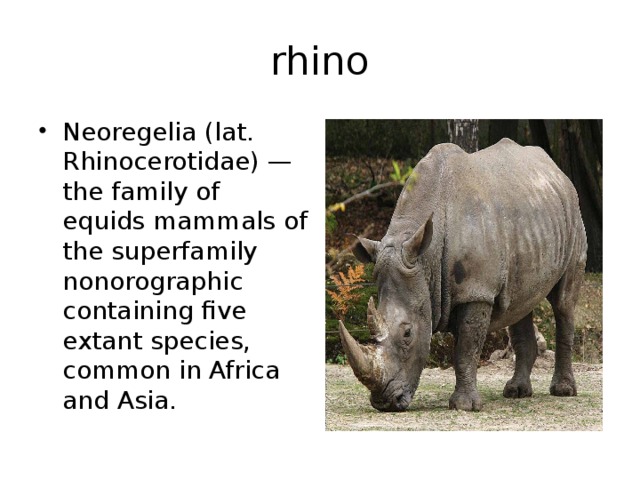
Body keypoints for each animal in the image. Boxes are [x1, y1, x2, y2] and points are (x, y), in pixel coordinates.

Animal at [339, 138, 587, 412]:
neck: (425, 261)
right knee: (519, 303)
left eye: (407, 333)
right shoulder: (452, 291)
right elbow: (464, 349)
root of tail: (556, 170)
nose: (385, 402)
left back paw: (563, 391)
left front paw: (464, 406)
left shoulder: (476, 290)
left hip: (573, 215)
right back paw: (516, 392)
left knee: (563, 302)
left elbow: (466, 350)